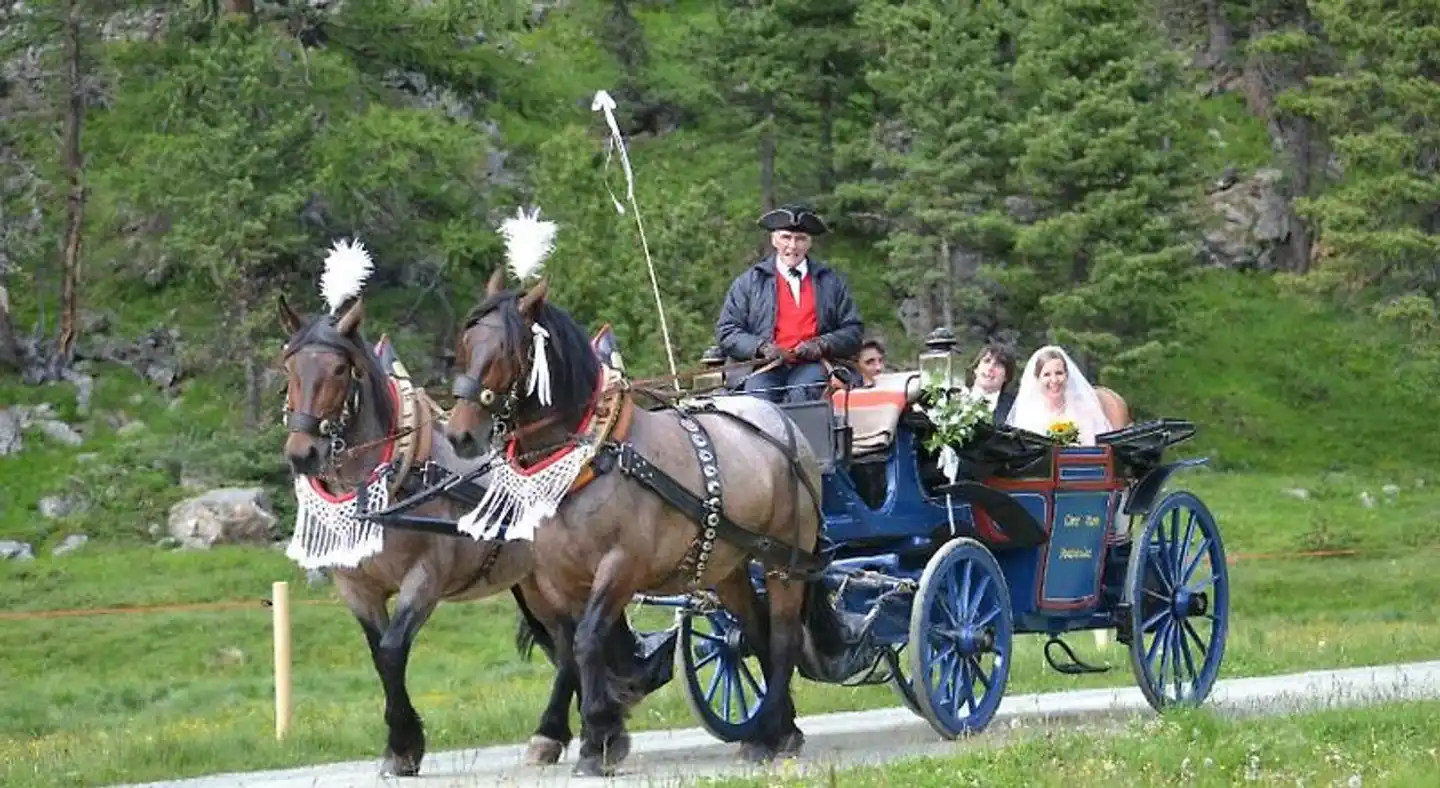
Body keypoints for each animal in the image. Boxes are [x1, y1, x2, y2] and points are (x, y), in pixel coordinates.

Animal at [275, 289, 668, 777]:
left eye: (339, 370)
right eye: (288, 369)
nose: (303, 454)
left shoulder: (424, 578)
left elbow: (392, 650)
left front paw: (404, 744)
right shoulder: (355, 587)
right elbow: (379, 655)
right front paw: (399, 747)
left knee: (571, 645)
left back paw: (569, 732)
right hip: (538, 580)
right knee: (566, 645)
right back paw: (556, 734)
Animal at [443, 270, 858, 777]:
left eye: (506, 349)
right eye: (465, 345)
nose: (460, 435)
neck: (591, 458)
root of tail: (785, 424)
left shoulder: (621, 567)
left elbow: (588, 641)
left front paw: (596, 740)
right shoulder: (557, 578)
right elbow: (574, 647)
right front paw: (601, 735)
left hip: (785, 560)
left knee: (782, 638)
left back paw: (770, 733)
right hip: (730, 565)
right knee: (754, 630)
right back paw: (778, 730)